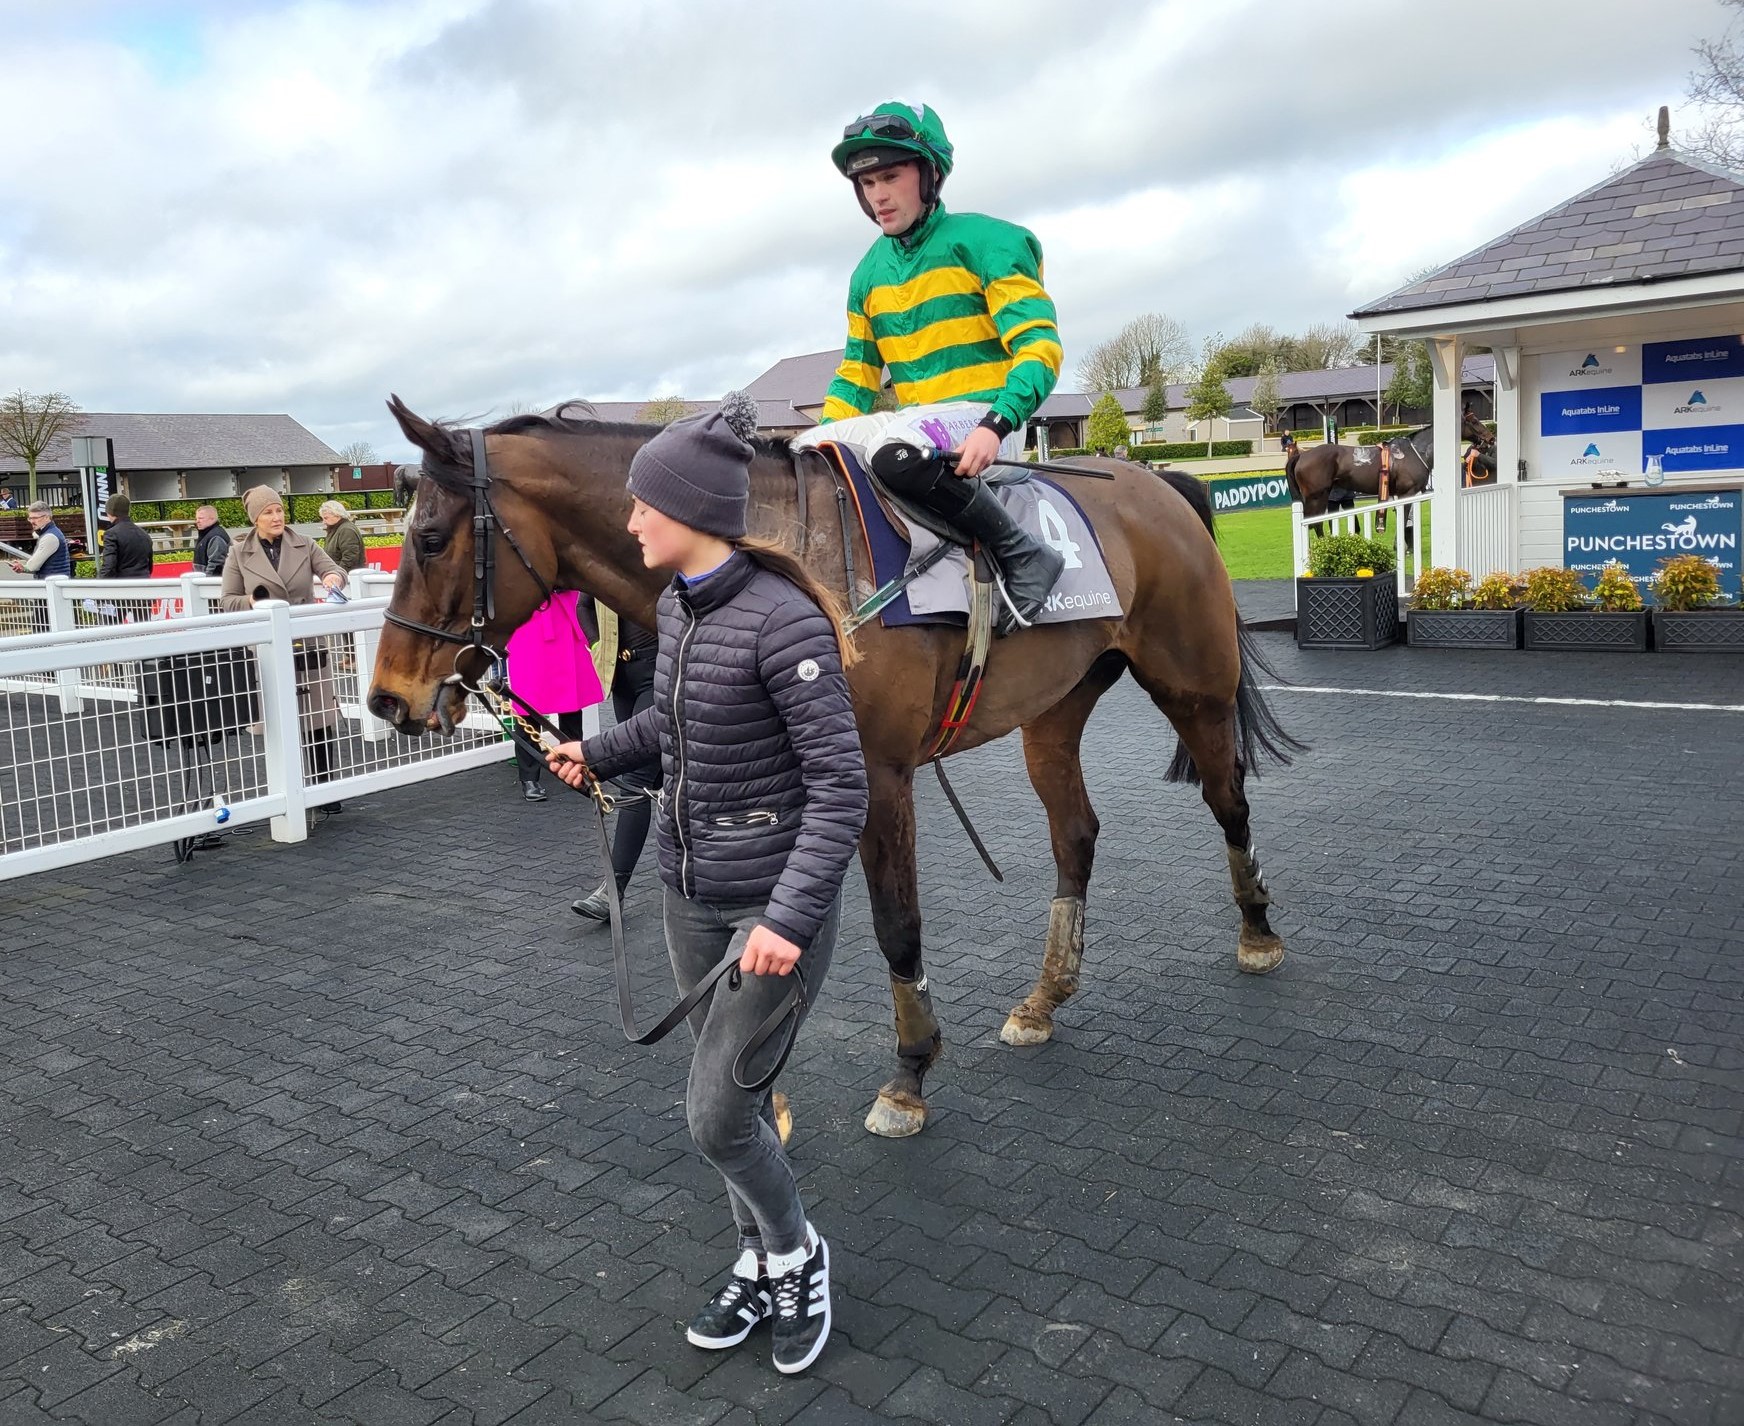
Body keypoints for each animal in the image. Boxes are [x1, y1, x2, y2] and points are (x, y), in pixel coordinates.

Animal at [364, 400, 1297, 1136]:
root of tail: (1159, 485)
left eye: (431, 538)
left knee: (1230, 801)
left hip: (1194, 688)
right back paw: (1044, 998)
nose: (386, 699)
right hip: (1055, 709)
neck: (785, 556)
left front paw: (909, 1074)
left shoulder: (874, 776)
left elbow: (895, 923)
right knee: (1076, 834)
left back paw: (1258, 932)